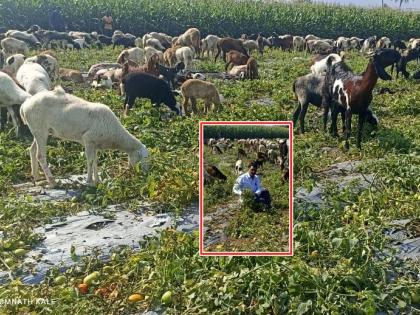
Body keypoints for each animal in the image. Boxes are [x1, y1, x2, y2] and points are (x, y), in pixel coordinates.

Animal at [20, 86, 151, 188]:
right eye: (144, 158)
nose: (146, 174)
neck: (115, 135)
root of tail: (25, 105)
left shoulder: (95, 144)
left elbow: (96, 161)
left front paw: (97, 180)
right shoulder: (88, 139)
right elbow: (90, 160)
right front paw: (89, 181)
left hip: (38, 130)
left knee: (32, 150)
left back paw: (37, 177)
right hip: (40, 129)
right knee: (40, 155)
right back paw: (52, 181)